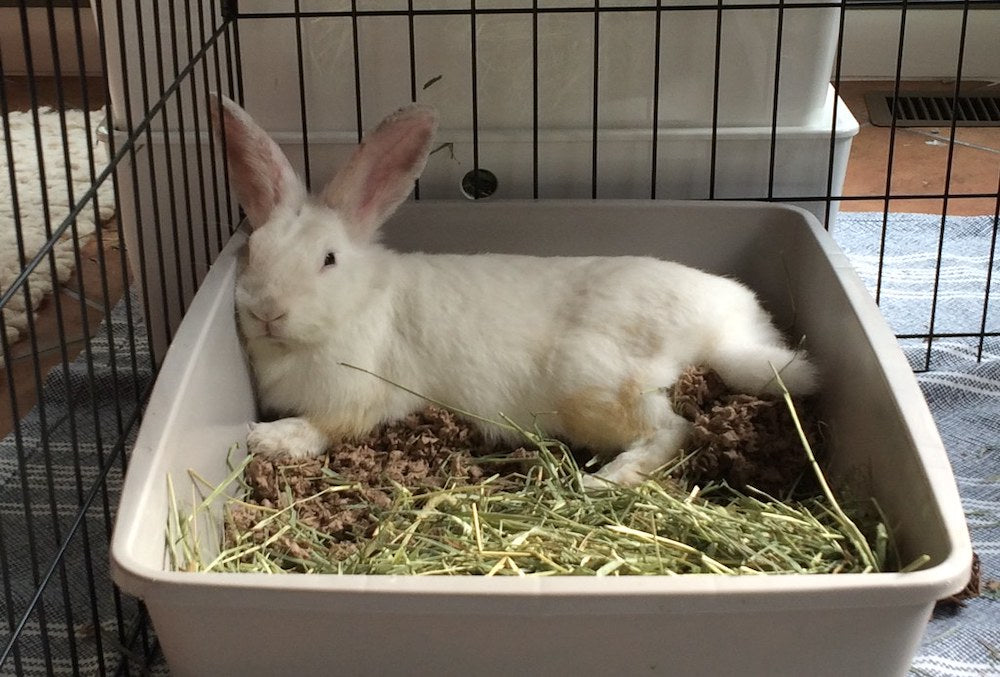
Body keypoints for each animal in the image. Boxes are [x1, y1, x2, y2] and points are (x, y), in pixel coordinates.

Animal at [210, 94, 818, 488]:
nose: (266, 312)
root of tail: (719, 334)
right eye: (254, 253)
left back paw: (606, 481)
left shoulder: (357, 397)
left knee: (675, 431)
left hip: (597, 384)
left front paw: (269, 440)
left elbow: (324, 427)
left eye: (329, 260)